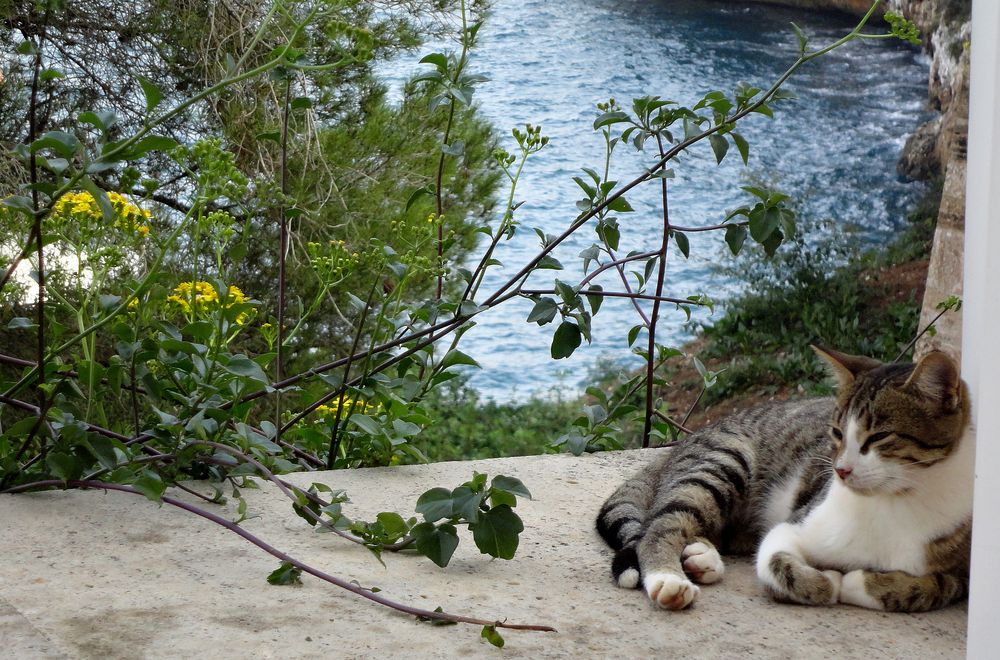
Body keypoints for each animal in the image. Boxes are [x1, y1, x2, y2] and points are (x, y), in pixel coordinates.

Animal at [596, 348, 972, 612]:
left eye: (879, 437)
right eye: (836, 433)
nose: (841, 470)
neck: (892, 503)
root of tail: (679, 446)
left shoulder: (961, 575)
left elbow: (925, 589)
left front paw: (859, 581)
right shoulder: (792, 528)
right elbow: (789, 570)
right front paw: (830, 581)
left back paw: (700, 557)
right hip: (723, 462)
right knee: (661, 525)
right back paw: (669, 577)